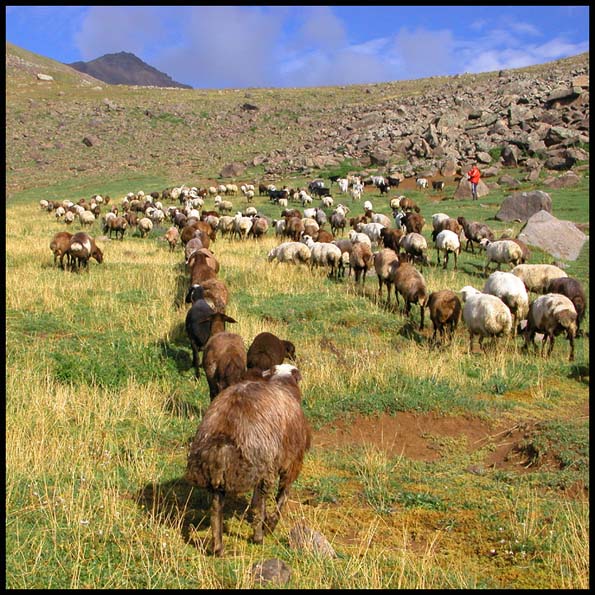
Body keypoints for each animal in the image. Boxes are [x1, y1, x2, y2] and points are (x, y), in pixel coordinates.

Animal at [186, 364, 312, 560]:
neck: (283, 383)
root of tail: (220, 443)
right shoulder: (292, 461)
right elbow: (282, 496)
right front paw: (270, 524)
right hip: (262, 466)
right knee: (261, 502)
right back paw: (259, 536)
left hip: (220, 478)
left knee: (216, 509)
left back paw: (218, 548)